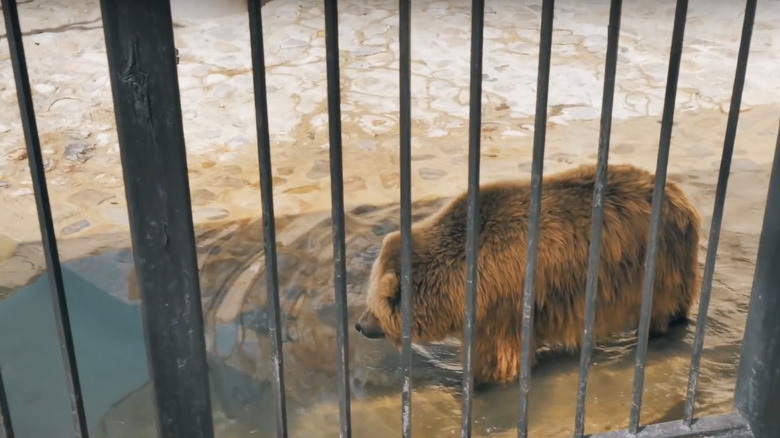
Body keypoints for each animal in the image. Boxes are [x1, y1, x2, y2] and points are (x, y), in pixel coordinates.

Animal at [354, 163, 700, 382]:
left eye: (375, 306)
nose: (359, 324)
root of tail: (681, 196)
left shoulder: (502, 300)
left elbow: (498, 355)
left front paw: (479, 379)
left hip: (656, 264)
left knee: (663, 307)